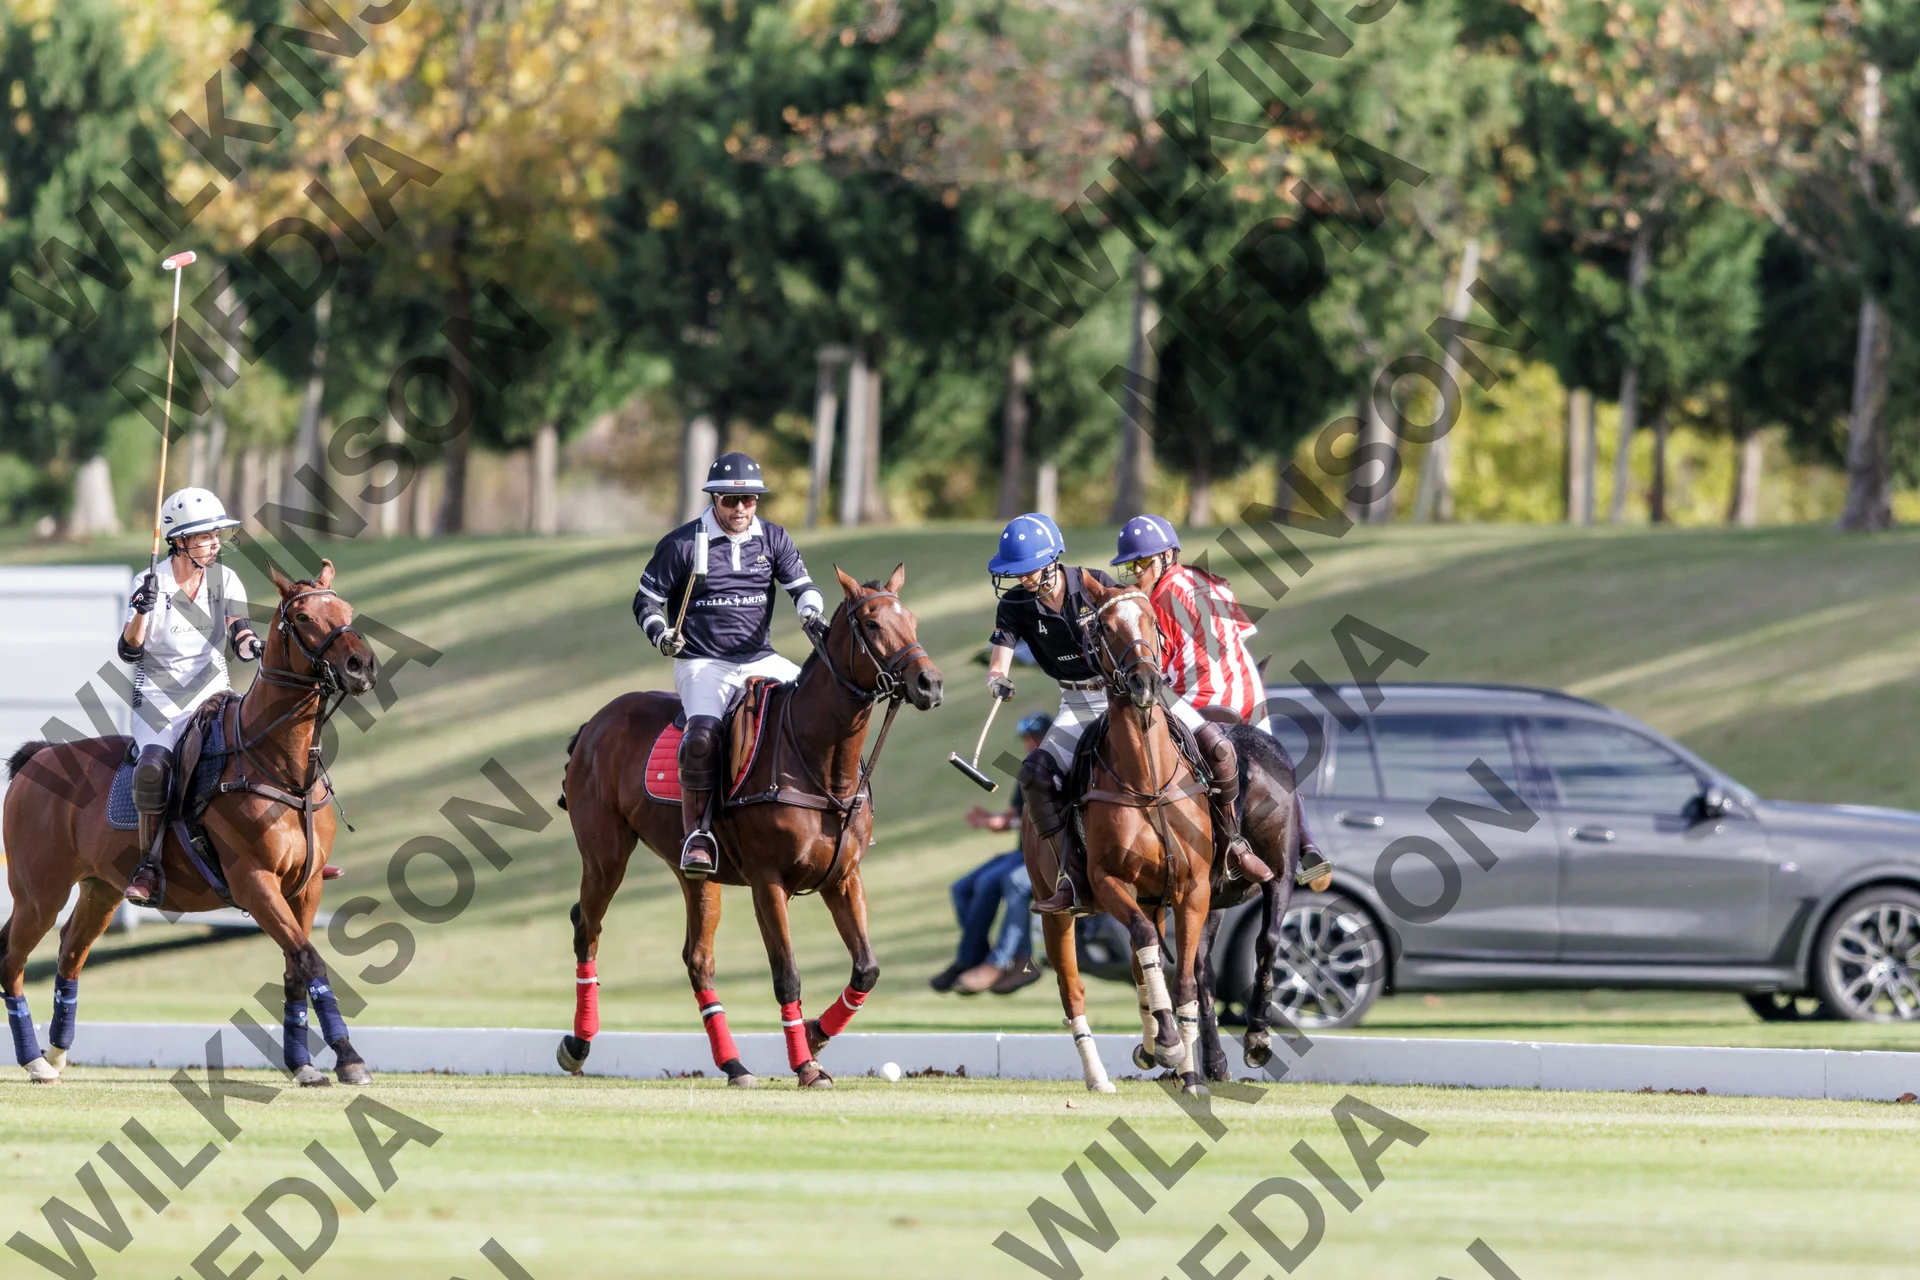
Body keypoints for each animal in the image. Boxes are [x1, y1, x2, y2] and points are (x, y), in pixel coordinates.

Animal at [1, 559, 378, 1086]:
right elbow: (308, 957)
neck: (278, 765)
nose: (361, 666)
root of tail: (36, 758)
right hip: (40, 892)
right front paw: (348, 1057)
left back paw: (56, 1053)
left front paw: (304, 1065)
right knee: (12, 960)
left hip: (101, 889)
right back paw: (34, 1060)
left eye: (344, 610)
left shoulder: (306, 887)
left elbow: (294, 968)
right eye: (303, 618)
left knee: (70, 953)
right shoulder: (253, 881)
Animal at [559, 565, 943, 1088]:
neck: (821, 761)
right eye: (872, 624)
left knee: (697, 959)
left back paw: (734, 1064)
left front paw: (815, 1035)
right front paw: (806, 1065)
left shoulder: (843, 877)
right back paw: (577, 1045)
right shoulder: (768, 881)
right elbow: (787, 975)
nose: (930, 683)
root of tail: (594, 723)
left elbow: (867, 969)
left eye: (914, 620)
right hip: (605, 853)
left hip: (695, 872)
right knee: (587, 927)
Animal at [1034, 571, 1218, 1096]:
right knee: (1074, 989)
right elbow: (1141, 941)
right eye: (1106, 627)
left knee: (1142, 964)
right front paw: (1172, 1045)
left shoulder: (1193, 888)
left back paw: (1153, 1044)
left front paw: (1188, 1071)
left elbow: (1183, 980)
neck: (1148, 781)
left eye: (1153, 620)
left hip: (1156, 899)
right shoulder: (1110, 881)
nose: (1145, 682)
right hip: (1057, 909)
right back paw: (1099, 1076)